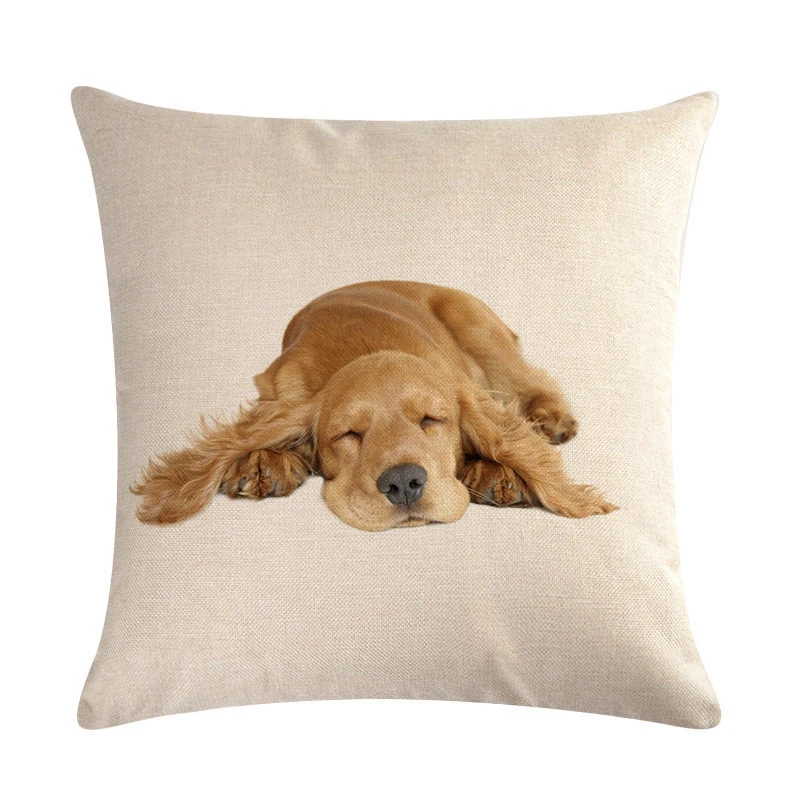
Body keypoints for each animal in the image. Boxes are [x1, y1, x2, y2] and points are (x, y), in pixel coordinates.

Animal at [133, 281, 617, 530]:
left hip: (480, 331)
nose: (403, 483)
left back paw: (549, 420)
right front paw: (263, 461)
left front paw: (497, 469)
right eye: (349, 434)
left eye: (431, 420)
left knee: (529, 379)